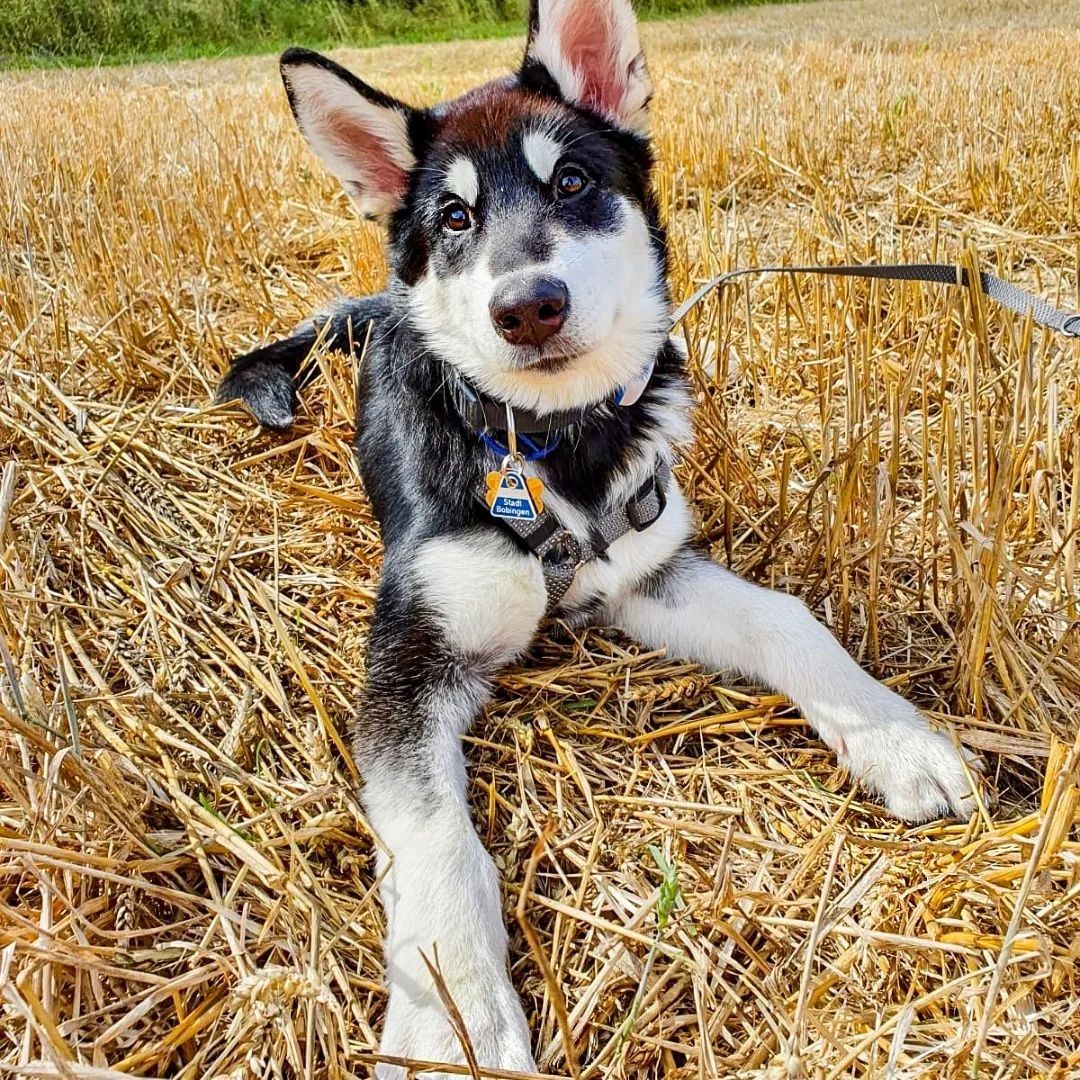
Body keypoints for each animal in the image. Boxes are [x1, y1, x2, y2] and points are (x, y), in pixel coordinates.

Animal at [216, 0, 982, 1072]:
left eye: (573, 182)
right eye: (454, 219)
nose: (527, 307)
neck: (553, 444)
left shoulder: (645, 571)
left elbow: (787, 619)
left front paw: (897, 740)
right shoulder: (410, 655)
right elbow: (436, 834)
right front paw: (455, 1021)